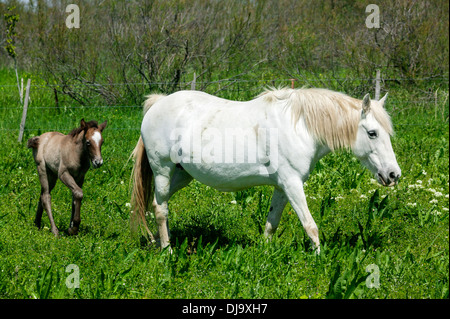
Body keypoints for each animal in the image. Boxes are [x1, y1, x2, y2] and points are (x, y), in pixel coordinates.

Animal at [130, 87, 400, 252]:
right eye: (372, 133)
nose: (393, 175)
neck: (300, 126)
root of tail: (158, 103)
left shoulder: (282, 187)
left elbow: (272, 223)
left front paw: (265, 255)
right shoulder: (292, 184)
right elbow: (310, 225)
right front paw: (319, 260)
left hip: (181, 175)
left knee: (156, 205)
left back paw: (159, 242)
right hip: (163, 171)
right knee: (161, 210)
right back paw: (167, 251)